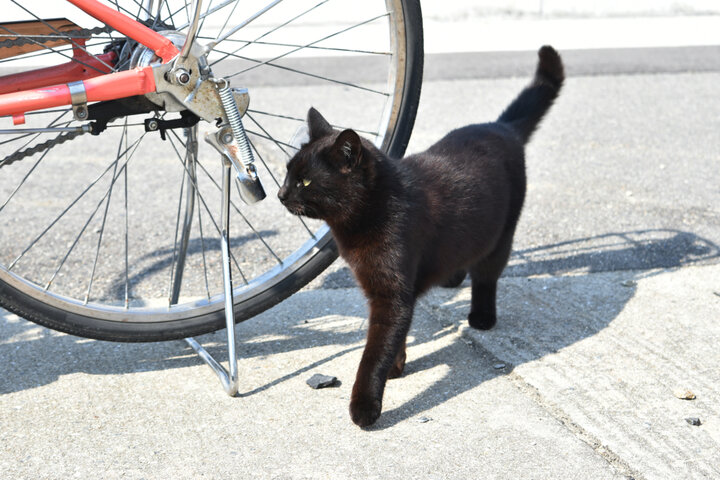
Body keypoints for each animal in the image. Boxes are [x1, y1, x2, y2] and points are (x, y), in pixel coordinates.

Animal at [278, 46, 564, 428]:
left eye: (305, 181)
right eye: (287, 173)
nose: (280, 194)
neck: (363, 220)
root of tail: (501, 126)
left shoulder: (391, 294)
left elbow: (375, 352)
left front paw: (365, 405)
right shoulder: (386, 291)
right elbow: (394, 338)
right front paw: (396, 366)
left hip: (502, 233)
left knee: (487, 274)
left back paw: (482, 316)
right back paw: (452, 278)